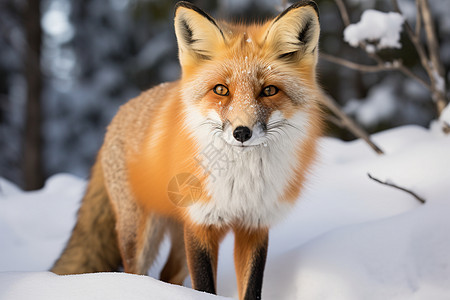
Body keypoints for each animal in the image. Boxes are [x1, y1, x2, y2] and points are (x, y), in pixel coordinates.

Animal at [51, 1, 324, 298]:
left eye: (269, 90)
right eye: (221, 90)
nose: (242, 132)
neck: (239, 183)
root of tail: (119, 114)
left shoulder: (253, 226)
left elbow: (251, 288)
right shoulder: (200, 222)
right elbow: (204, 286)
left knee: (168, 274)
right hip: (142, 235)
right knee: (135, 272)